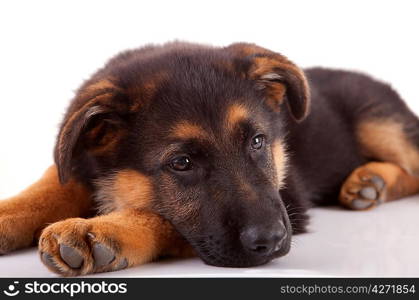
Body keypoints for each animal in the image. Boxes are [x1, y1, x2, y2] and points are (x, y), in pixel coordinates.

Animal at [0, 41, 419, 274]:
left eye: (258, 141)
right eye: (182, 163)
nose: (271, 241)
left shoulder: (291, 200)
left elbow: (162, 218)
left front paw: (103, 231)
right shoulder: (76, 162)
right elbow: (49, 186)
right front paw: (8, 213)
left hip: (379, 121)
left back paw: (371, 181)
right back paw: (367, 183)